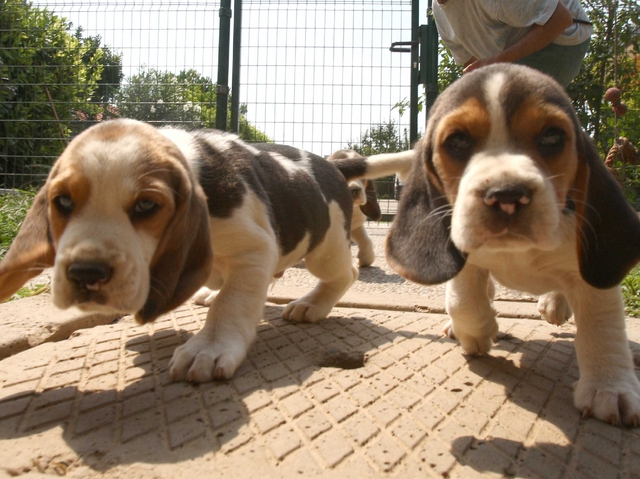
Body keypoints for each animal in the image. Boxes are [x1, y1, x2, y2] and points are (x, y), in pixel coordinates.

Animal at [0, 119, 410, 382]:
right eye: (63, 202)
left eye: (147, 206)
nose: (85, 274)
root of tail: (332, 164)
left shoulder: (253, 248)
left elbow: (231, 304)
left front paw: (208, 349)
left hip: (325, 249)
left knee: (344, 273)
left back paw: (312, 304)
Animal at [384, 64, 640, 428]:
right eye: (457, 140)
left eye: (552, 137)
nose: (507, 195)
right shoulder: (465, 251)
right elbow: (464, 301)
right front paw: (478, 333)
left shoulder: (592, 277)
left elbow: (602, 326)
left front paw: (610, 388)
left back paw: (555, 304)